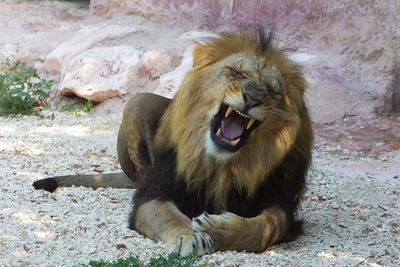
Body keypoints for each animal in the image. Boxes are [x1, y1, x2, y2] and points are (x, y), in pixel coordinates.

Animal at [33, 30, 312, 258]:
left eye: (272, 91)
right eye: (237, 72)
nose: (252, 98)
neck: (221, 165)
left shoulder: (280, 199)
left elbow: (265, 227)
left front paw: (217, 227)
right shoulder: (155, 192)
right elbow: (168, 216)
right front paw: (189, 236)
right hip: (137, 103)